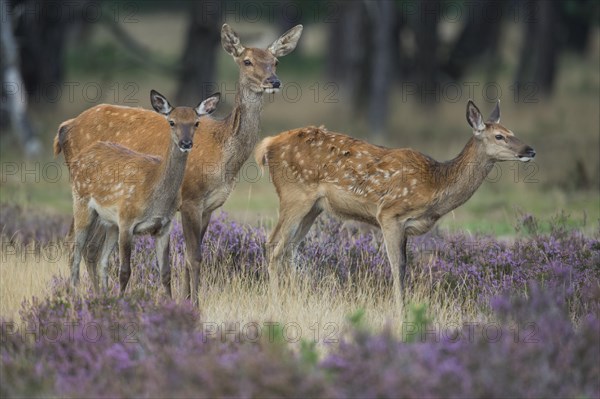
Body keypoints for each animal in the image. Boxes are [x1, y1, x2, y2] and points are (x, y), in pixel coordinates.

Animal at [54, 24, 302, 306]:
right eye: (247, 61)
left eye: (275, 61)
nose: (273, 81)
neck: (222, 156)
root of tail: (66, 127)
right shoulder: (191, 198)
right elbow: (194, 256)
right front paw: (194, 302)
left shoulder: (210, 206)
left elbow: (188, 257)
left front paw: (185, 299)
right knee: (75, 240)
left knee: (91, 248)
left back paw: (97, 295)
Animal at [255, 101, 536, 306]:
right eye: (499, 136)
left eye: (512, 132)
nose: (530, 150)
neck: (435, 185)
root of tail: (267, 145)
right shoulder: (390, 214)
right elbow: (397, 267)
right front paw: (401, 311)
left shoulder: (406, 226)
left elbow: (405, 266)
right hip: (294, 195)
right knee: (273, 244)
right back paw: (276, 302)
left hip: (314, 207)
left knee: (290, 248)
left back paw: (293, 297)